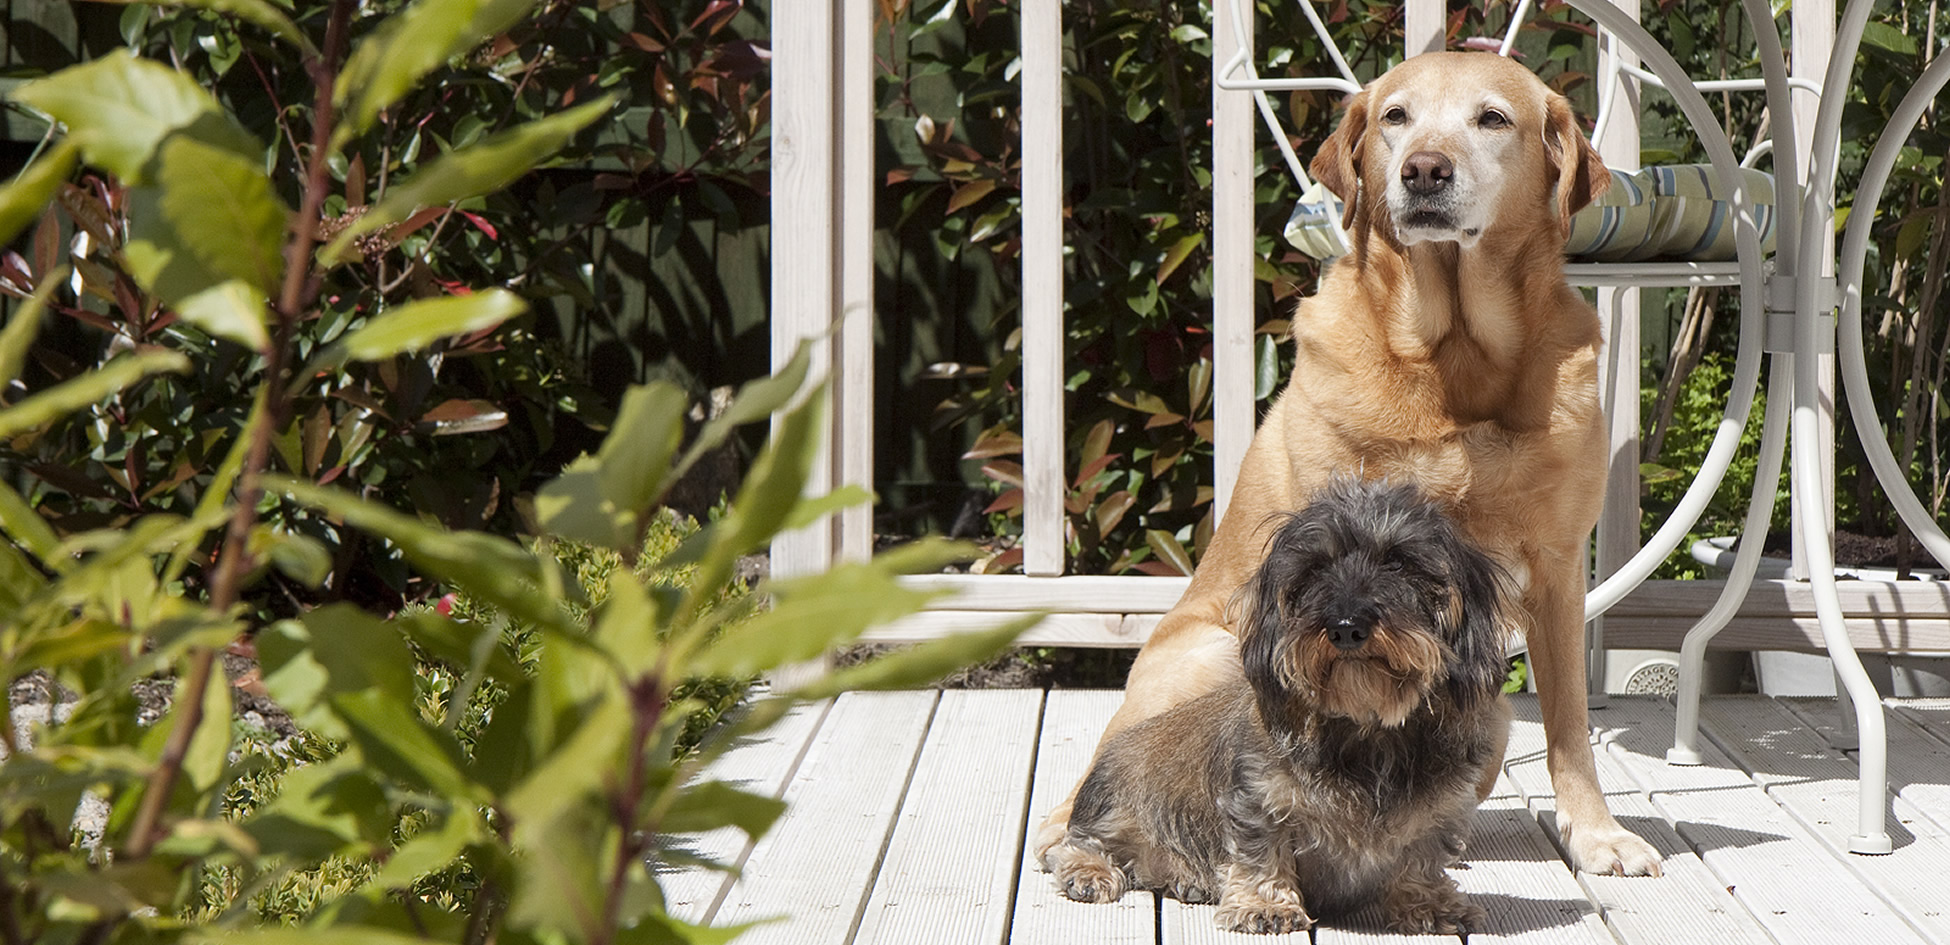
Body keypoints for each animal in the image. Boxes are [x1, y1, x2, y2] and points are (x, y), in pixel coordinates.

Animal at [1037, 51, 1661, 876]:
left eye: (1492, 118)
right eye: (1396, 116)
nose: (1423, 170)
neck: (1453, 357)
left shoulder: (1558, 572)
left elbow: (1568, 725)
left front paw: (1596, 832)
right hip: (1212, 652)